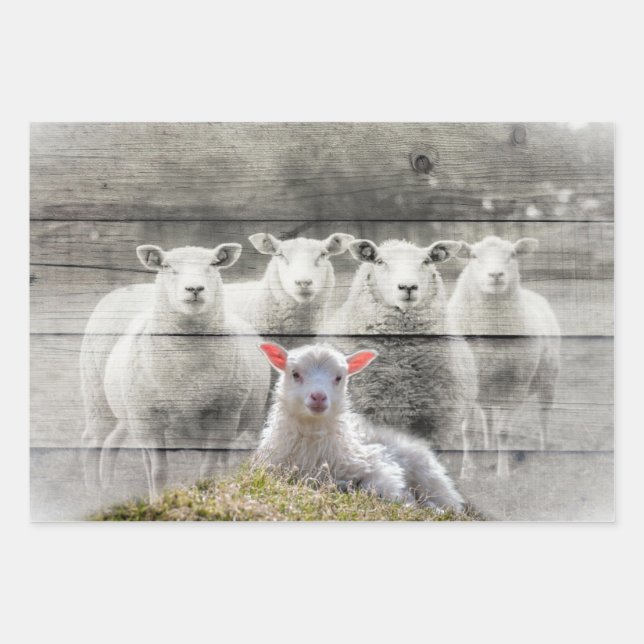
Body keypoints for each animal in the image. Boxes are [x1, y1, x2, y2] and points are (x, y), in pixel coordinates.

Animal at [80, 243, 271, 499]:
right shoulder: (150, 420)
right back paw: (94, 491)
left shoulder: (224, 416)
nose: (194, 288)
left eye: (213, 264)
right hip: (102, 400)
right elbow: (159, 471)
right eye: (166, 266)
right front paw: (158, 500)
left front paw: (206, 495)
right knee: (95, 440)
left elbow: (208, 469)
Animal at [255, 342, 464, 511]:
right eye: (295, 374)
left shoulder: (379, 464)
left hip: (430, 478)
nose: (318, 397)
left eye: (339, 377)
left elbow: (380, 488)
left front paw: (408, 502)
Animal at [447, 236, 561, 478]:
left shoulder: (515, 386)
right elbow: (468, 430)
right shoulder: (467, 385)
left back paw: (543, 450)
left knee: (543, 416)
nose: (496, 275)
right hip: (487, 388)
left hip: (548, 380)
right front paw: (467, 471)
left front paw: (502, 473)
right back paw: (488, 449)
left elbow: (504, 431)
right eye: (473, 256)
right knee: (487, 416)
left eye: (513, 255)